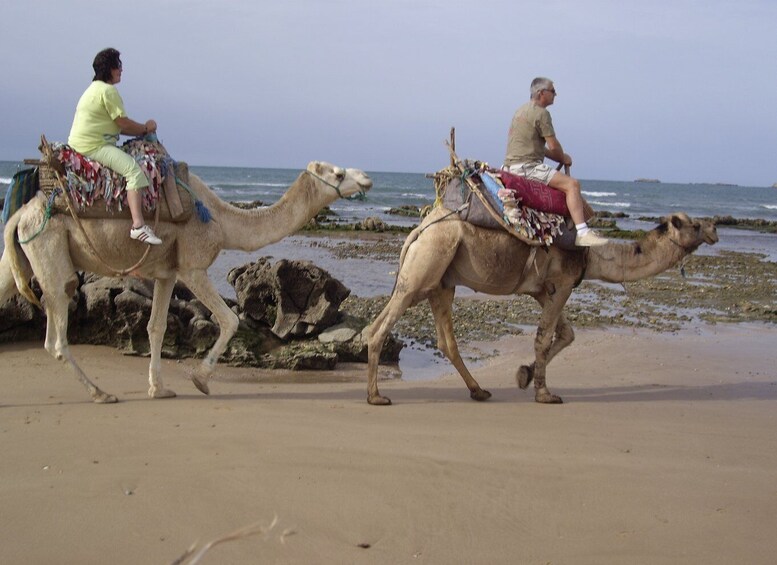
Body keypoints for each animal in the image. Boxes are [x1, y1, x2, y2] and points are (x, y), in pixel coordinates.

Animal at [366, 209, 720, 404]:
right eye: (694, 225)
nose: (715, 228)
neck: (592, 254)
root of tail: (417, 231)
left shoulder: (542, 289)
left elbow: (566, 334)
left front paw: (524, 374)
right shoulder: (562, 283)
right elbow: (544, 336)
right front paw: (545, 393)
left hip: (441, 281)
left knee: (444, 340)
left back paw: (479, 391)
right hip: (427, 266)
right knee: (381, 327)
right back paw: (376, 397)